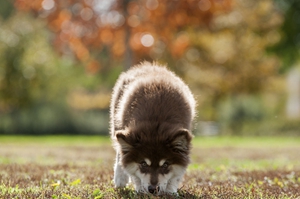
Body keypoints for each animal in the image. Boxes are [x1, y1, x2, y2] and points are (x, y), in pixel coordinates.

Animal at [110, 61, 197, 194]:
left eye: (165, 165)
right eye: (143, 164)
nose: (153, 189)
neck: (156, 126)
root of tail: (148, 65)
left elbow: (176, 175)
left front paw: (171, 190)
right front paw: (140, 188)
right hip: (116, 122)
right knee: (120, 153)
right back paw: (120, 178)